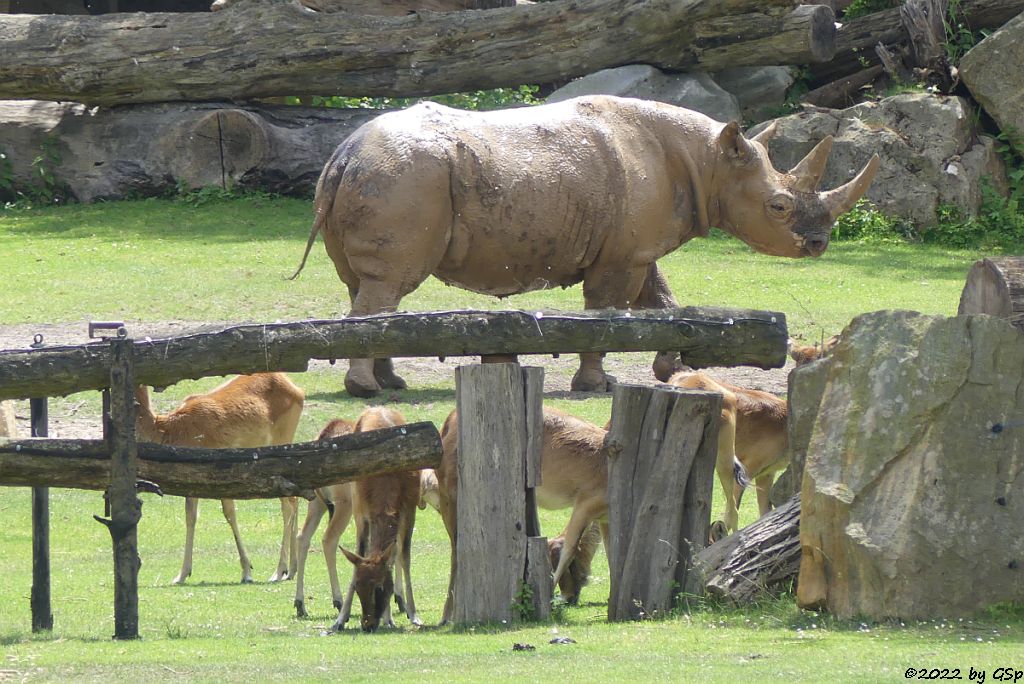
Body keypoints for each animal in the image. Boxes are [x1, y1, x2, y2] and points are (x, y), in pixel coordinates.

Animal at [131, 370, 303, 585]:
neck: (169, 429)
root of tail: (296, 389)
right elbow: (191, 516)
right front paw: (181, 575)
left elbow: (229, 513)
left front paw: (247, 571)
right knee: (294, 498)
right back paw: (292, 569)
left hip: (283, 438)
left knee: (288, 503)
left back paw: (279, 571)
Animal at [331, 403, 419, 634]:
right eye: (357, 586)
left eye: (379, 588)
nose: (367, 624)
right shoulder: (361, 512)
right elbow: (360, 554)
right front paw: (340, 620)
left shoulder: (410, 508)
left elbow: (403, 556)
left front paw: (413, 614)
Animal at [438, 405, 610, 626]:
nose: (571, 597)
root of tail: (450, 419)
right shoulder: (585, 504)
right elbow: (569, 549)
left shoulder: (604, 518)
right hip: (450, 499)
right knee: (456, 551)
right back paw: (447, 616)